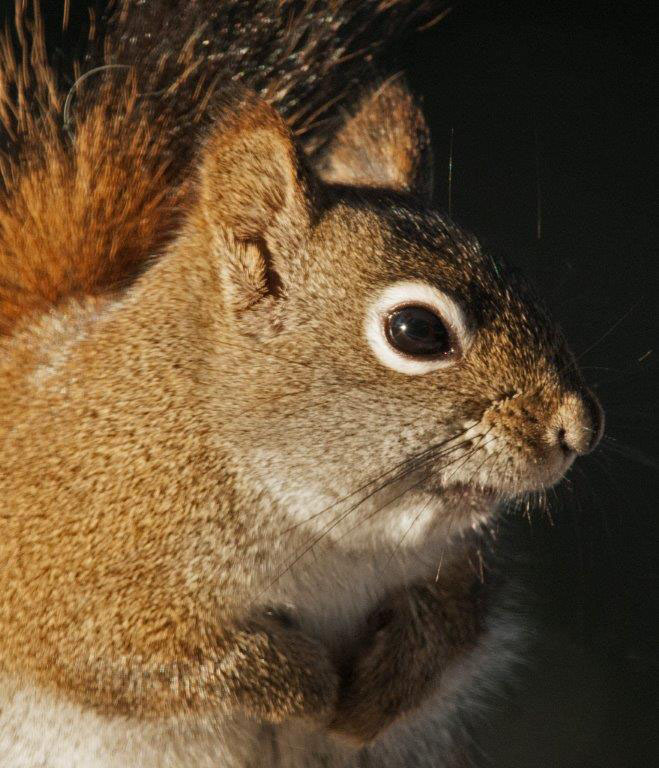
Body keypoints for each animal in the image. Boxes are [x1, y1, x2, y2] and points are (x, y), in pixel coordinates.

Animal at [0, 2, 604, 767]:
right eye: (416, 330)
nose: (579, 428)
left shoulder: (455, 565)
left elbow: (453, 620)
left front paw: (382, 686)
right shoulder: (59, 582)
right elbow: (138, 657)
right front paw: (307, 685)